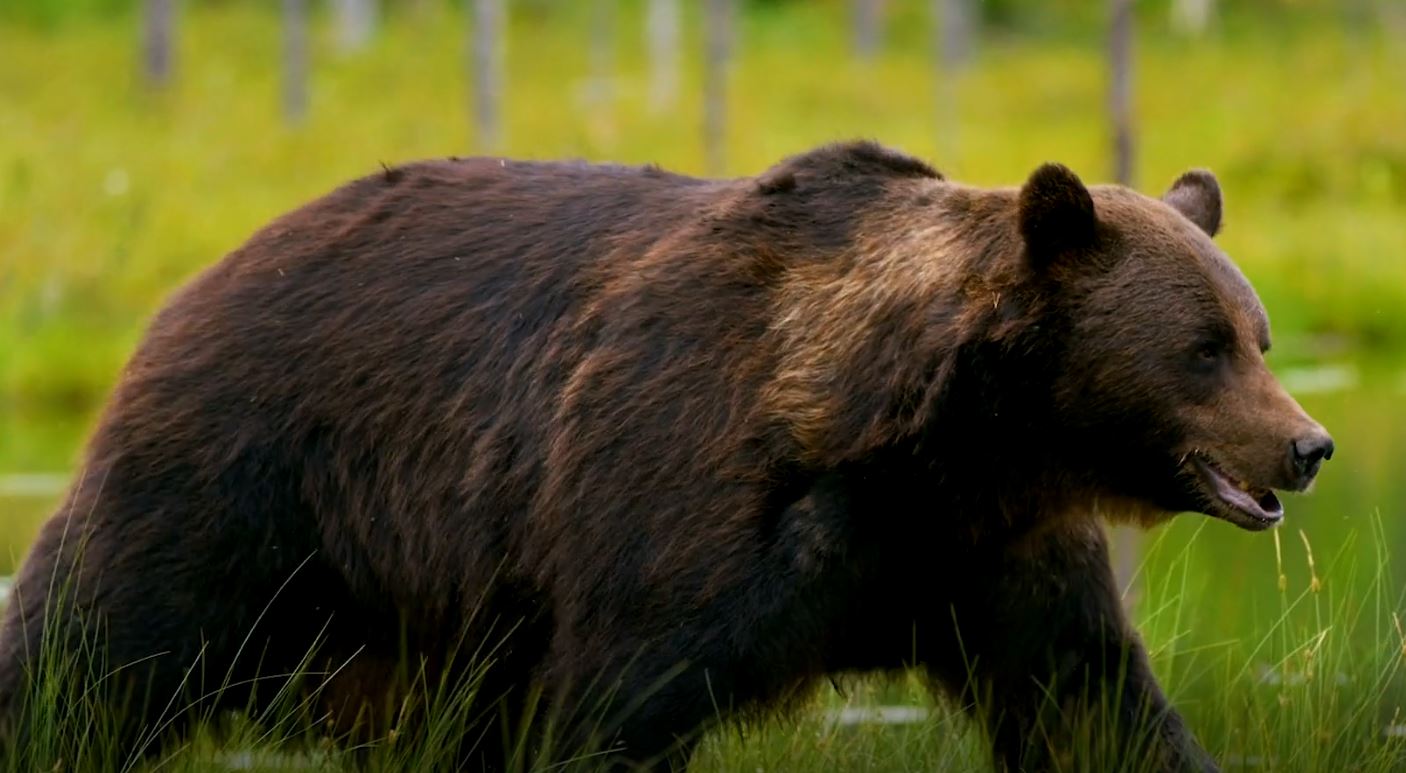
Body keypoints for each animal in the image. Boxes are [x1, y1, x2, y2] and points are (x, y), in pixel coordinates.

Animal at [0, 142, 1327, 770]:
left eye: (1259, 334)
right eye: (1202, 347)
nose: (1305, 443)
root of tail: (205, 273)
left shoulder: (991, 553)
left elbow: (1090, 700)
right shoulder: (681, 504)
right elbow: (618, 702)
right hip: (243, 484)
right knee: (88, 646)